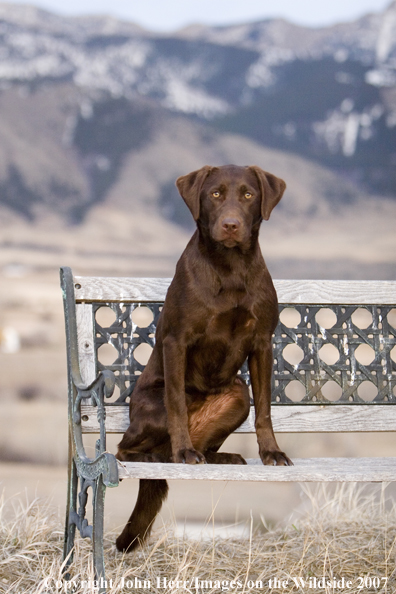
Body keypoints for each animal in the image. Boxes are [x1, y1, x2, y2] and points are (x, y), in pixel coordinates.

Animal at [116, 163, 292, 552]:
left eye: (248, 195)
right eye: (215, 194)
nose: (231, 225)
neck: (229, 266)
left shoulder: (262, 343)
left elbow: (266, 410)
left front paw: (272, 452)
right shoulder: (176, 341)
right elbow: (178, 406)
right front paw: (184, 453)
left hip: (237, 395)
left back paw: (219, 455)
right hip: (150, 410)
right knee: (124, 448)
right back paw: (162, 454)